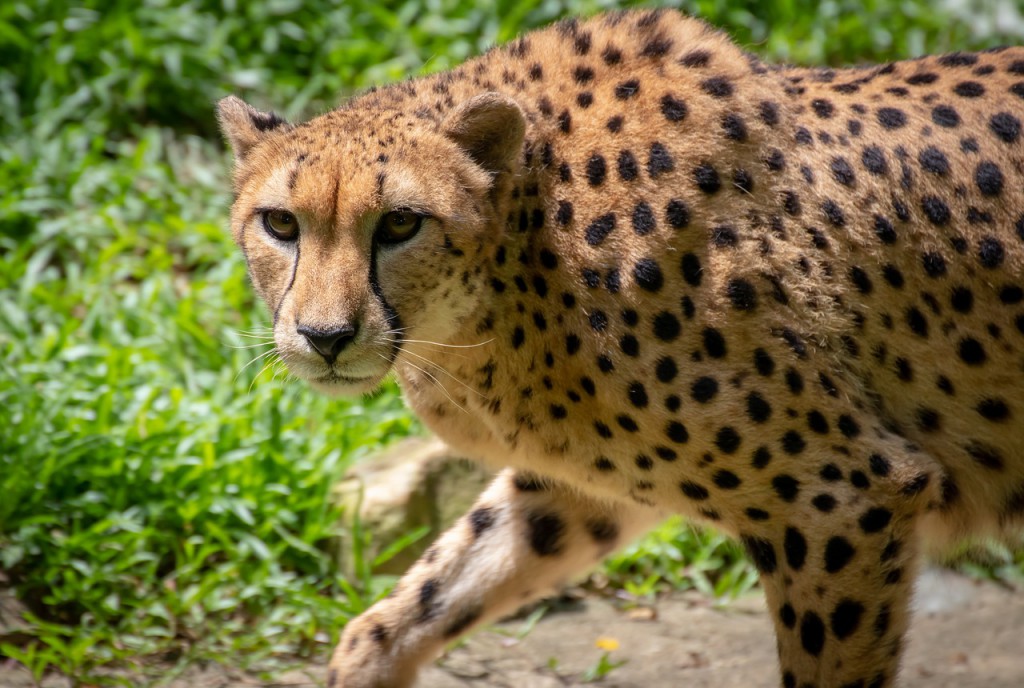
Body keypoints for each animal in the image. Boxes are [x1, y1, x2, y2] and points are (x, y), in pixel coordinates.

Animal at [216, 9, 1024, 687]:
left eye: (400, 223)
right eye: (281, 223)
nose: (325, 338)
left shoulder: (846, 499)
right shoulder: (583, 483)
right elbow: (416, 602)